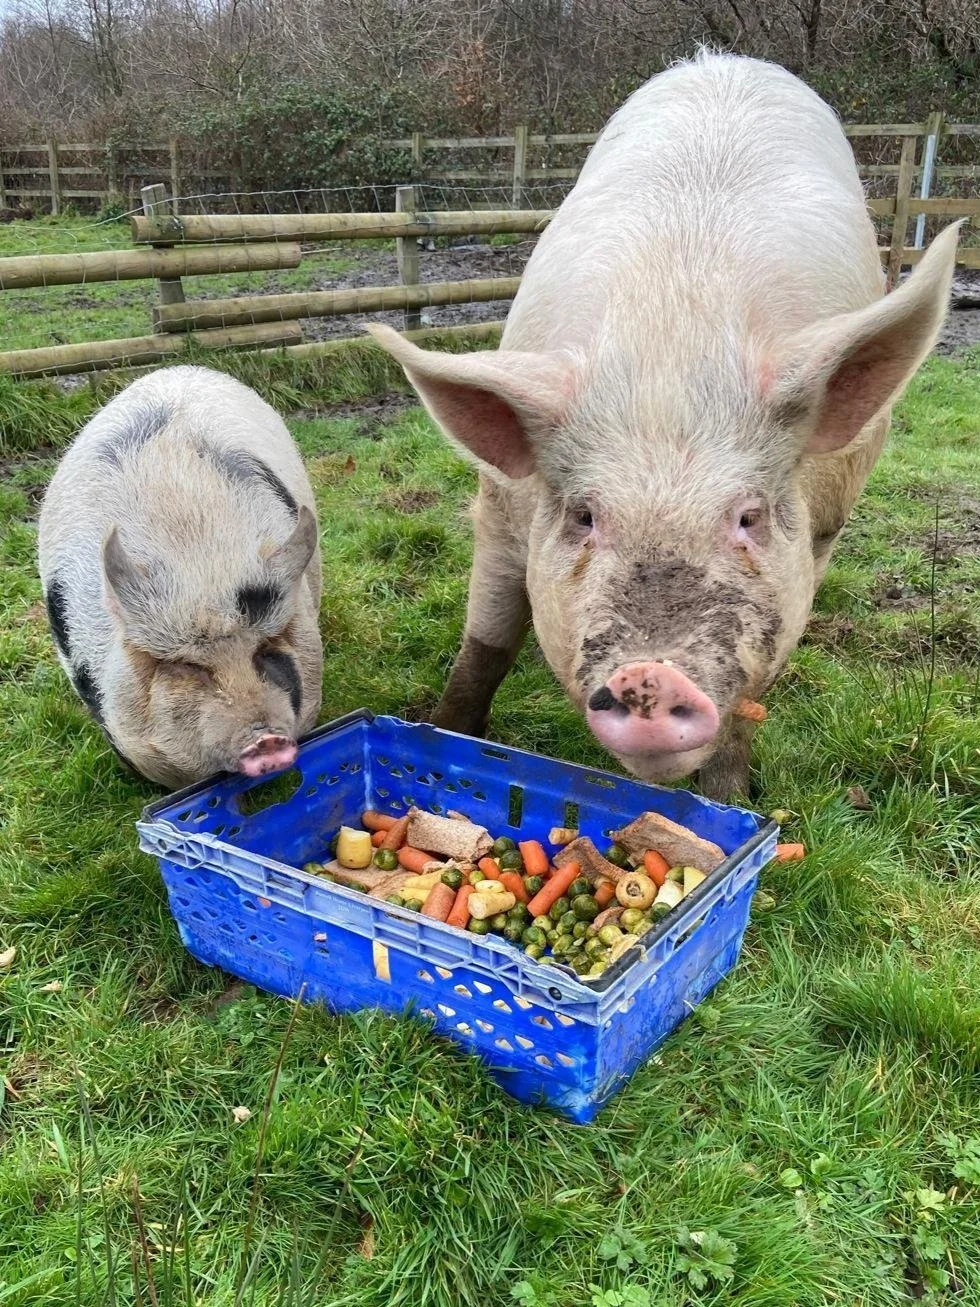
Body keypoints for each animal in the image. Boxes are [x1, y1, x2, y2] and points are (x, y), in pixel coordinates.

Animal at [369, 52, 960, 801]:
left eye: (749, 517)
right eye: (585, 516)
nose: (651, 674)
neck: (670, 358)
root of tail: (726, 58)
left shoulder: (818, 536)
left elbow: (752, 697)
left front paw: (728, 798)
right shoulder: (498, 508)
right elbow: (487, 645)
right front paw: (445, 735)